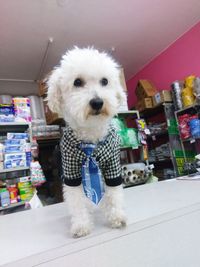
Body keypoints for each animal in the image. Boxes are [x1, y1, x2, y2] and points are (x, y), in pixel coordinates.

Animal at [47, 47, 126, 238]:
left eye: (105, 81)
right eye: (77, 82)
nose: (97, 102)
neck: (91, 137)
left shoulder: (112, 165)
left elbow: (114, 193)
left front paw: (116, 216)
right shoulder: (71, 171)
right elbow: (76, 200)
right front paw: (81, 225)